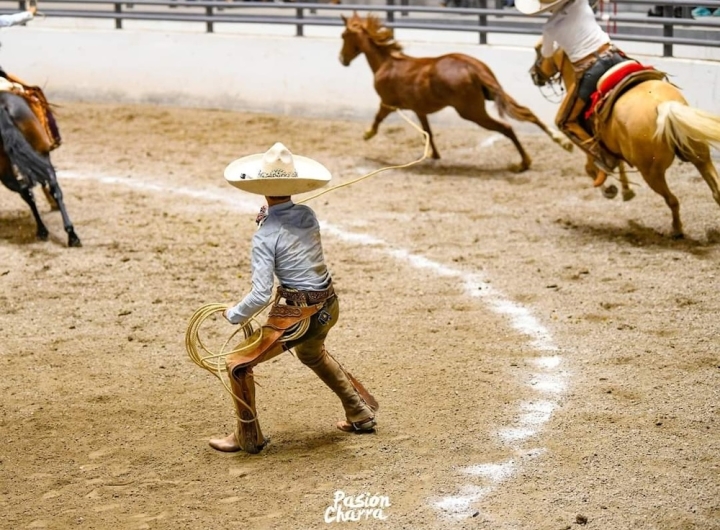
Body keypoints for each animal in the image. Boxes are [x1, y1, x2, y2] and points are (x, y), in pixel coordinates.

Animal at [338, 13, 572, 171]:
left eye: (343, 35)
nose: (342, 59)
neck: (387, 63)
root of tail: (472, 67)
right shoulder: (419, 109)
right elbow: (428, 132)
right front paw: (433, 155)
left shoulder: (388, 103)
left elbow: (378, 119)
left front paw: (367, 134)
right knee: (527, 113)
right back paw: (562, 142)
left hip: (471, 112)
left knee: (506, 127)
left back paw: (523, 163)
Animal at [528, 40, 720, 238]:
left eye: (539, 49)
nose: (533, 74)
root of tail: (663, 105)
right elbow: (616, 163)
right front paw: (626, 191)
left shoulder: (590, 145)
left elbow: (591, 168)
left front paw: (609, 190)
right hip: (700, 157)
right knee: (716, 192)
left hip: (652, 174)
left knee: (672, 200)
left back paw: (676, 229)